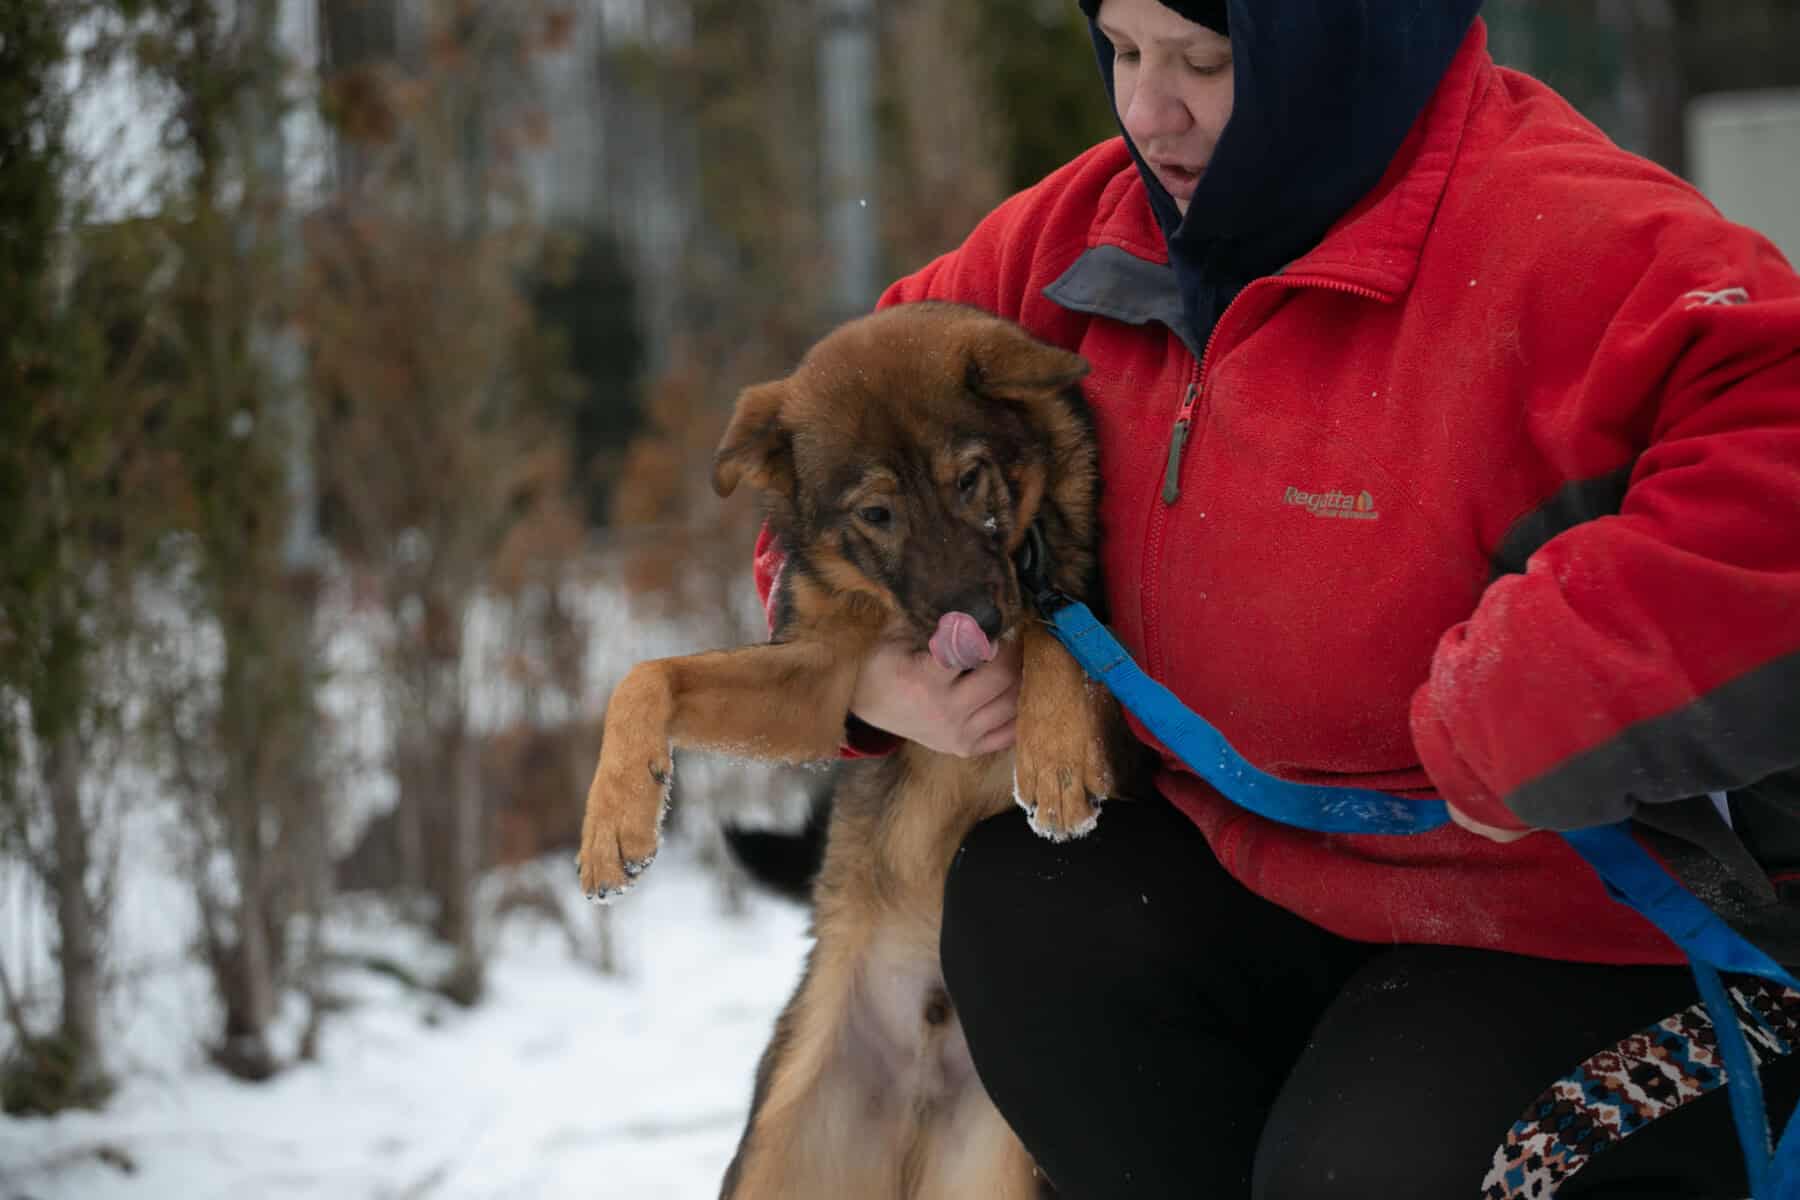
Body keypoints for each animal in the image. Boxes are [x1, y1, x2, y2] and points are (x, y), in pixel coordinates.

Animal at [577, 301, 1144, 1198]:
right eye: (877, 514)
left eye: (969, 479)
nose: (981, 624)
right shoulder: (817, 684)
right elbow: (645, 675)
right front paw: (614, 823)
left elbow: (1057, 629)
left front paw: (1054, 757)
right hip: (779, 1152)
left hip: (994, 1171)